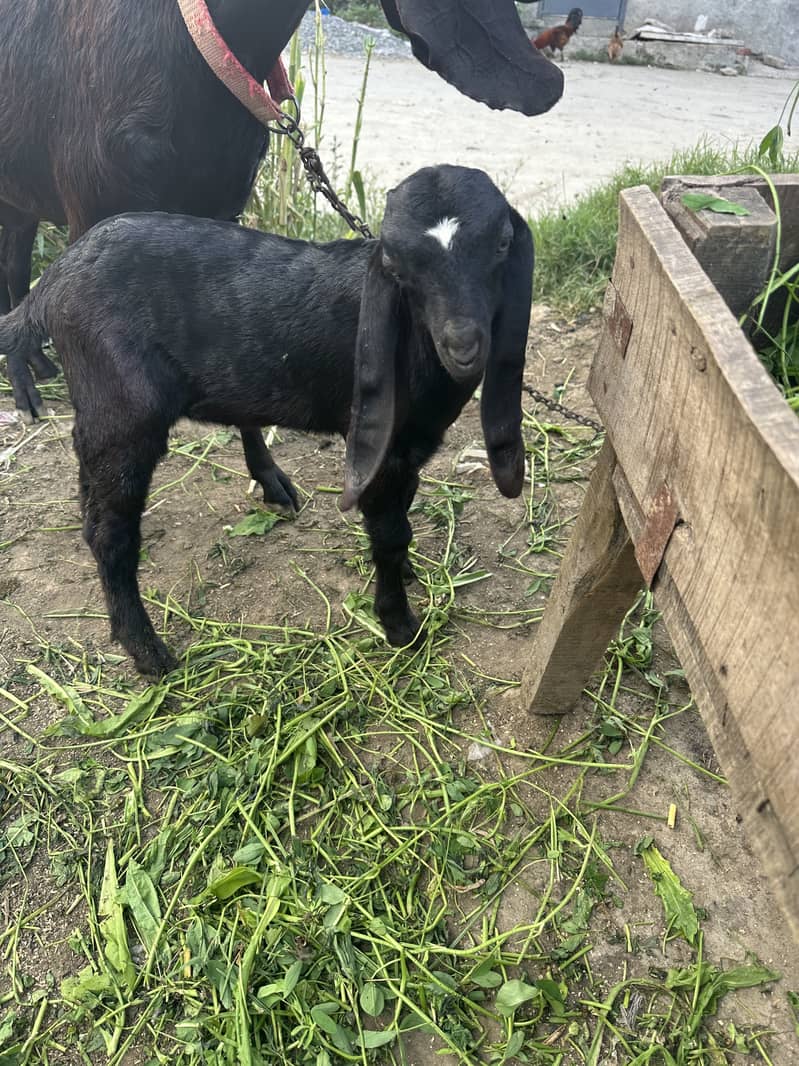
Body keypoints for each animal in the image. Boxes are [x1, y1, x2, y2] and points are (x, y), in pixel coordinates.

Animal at [0, 166, 533, 676]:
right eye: (397, 267)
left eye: (503, 243)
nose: (463, 346)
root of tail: (52, 282)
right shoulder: (381, 447)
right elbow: (389, 533)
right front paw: (401, 627)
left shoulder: (412, 448)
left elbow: (402, 513)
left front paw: (406, 576)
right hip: (124, 406)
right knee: (111, 532)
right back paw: (148, 653)